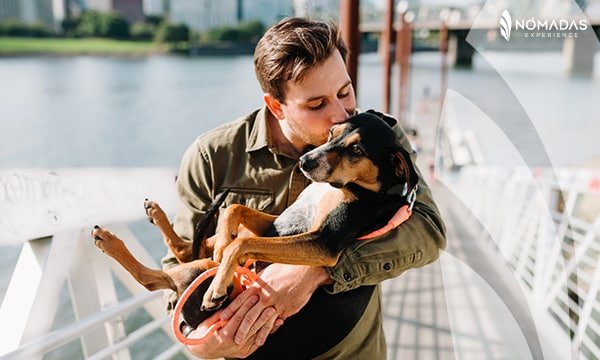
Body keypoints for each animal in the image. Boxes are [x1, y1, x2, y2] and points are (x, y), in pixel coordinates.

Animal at [91, 111, 418, 330]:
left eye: (356, 150)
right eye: (331, 132)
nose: (305, 162)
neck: (352, 188)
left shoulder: (322, 243)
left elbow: (241, 244)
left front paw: (217, 287)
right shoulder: (280, 222)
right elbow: (234, 210)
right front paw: (224, 242)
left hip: (200, 270)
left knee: (152, 277)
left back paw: (110, 240)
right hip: (209, 257)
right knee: (182, 252)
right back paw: (146, 219)